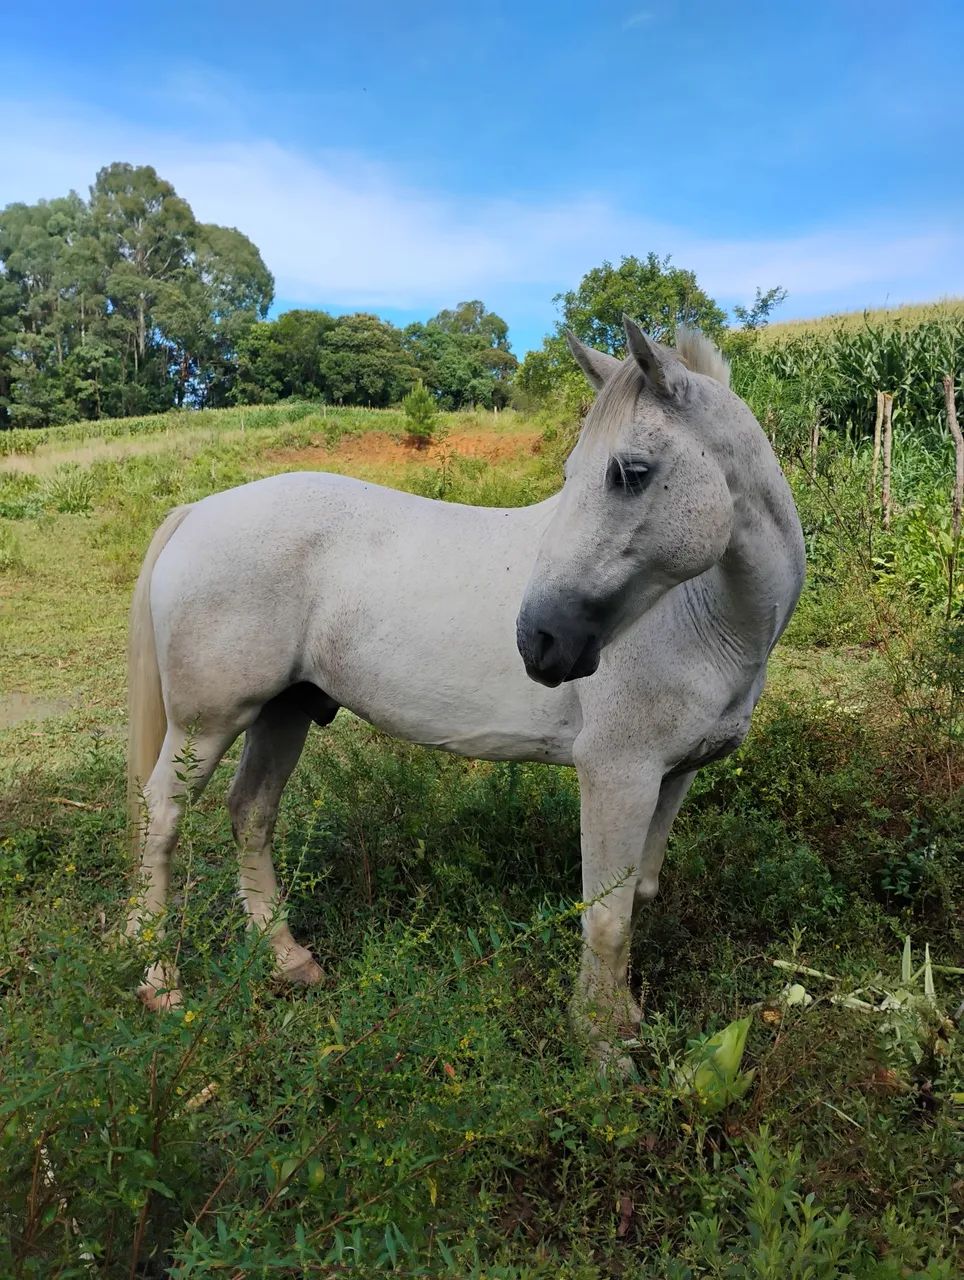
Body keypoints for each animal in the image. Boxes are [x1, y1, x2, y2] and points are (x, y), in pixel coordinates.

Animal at [126, 317, 805, 1067]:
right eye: (578, 474)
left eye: (628, 473)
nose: (539, 639)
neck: (708, 618)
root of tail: (198, 511)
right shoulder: (617, 774)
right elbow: (605, 917)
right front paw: (601, 1046)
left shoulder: (674, 777)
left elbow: (638, 897)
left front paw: (621, 1016)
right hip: (206, 724)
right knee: (161, 820)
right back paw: (160, 981)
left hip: (286, 712)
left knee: (251, 815)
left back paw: (286, 958)